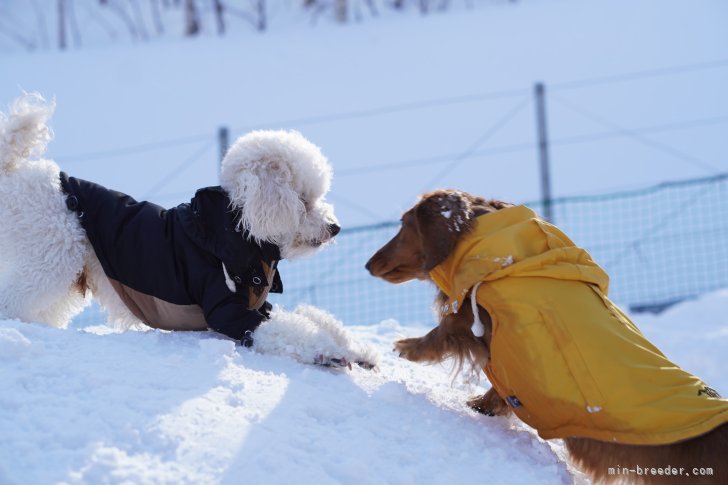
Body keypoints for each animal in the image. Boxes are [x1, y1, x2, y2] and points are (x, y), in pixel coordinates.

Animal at [0, 92, 376, 368]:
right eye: (303, 200)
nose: (335, 227)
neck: (234, 229)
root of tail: (16, 177)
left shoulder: (258, 304)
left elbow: (312, 318)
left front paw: (359, 349)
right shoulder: (229, 310)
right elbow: (290, 330)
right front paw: (330, 352)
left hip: (66, 269)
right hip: (51, 257)